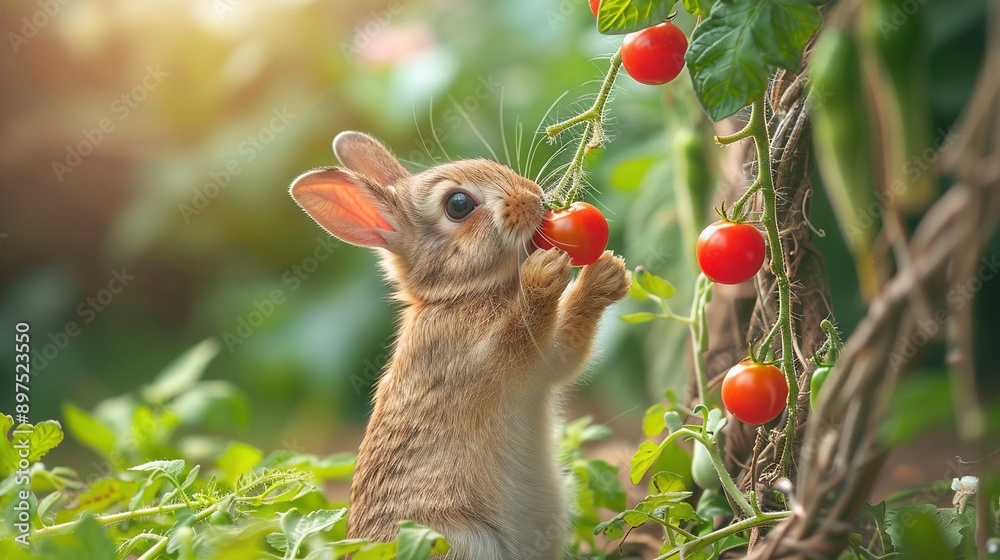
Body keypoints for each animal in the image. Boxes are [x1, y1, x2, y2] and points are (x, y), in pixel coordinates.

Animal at [290, 132, 628, 560]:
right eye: (458, 204)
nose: (532, 196)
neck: (457, 297)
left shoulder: (547, 364)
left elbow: (568, 349)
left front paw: (609, 272)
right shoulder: (486, 355)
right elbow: (527, 329)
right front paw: (544, 274)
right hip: (456, 541)